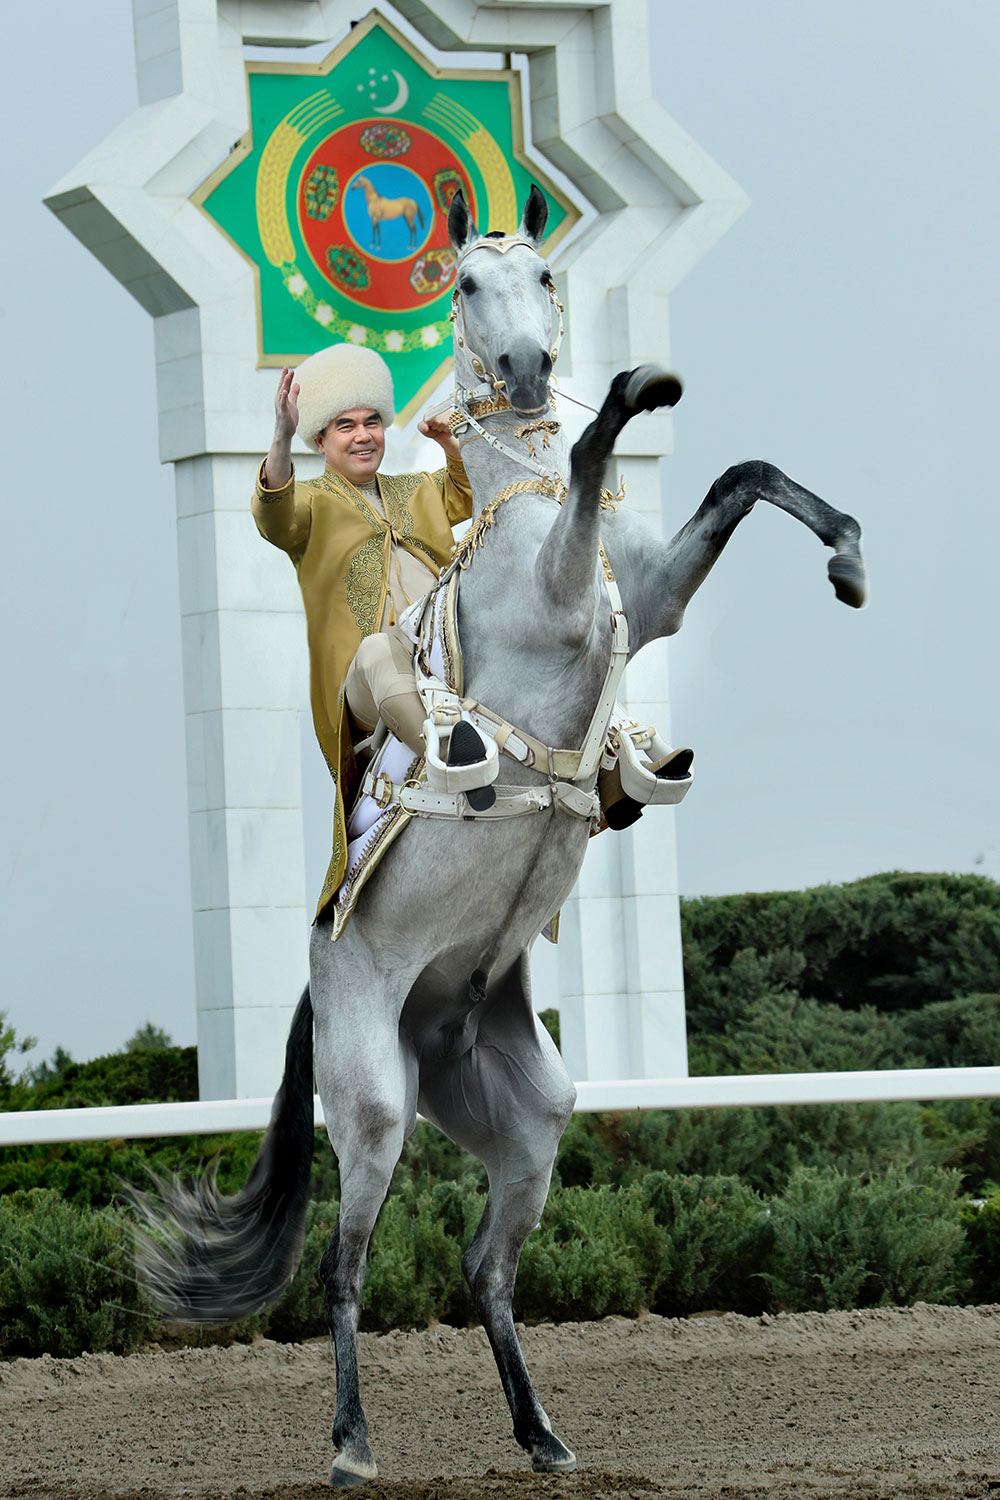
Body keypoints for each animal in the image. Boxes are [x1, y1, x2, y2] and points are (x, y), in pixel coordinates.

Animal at [132, 184, 869, 1476]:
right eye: (469, 285)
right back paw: (352, 1445)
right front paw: (633, 391)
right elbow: (588, 454)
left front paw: (847, 555)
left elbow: (743, 474)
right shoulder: (567, 587)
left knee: (485, 1266)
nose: (527, 368)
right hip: (374, 1109)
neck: (515, 522)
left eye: (548, 277)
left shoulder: (650, 597)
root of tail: (414, 1022)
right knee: (343, 1266)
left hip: (526, 1119)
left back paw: (543, 1435)